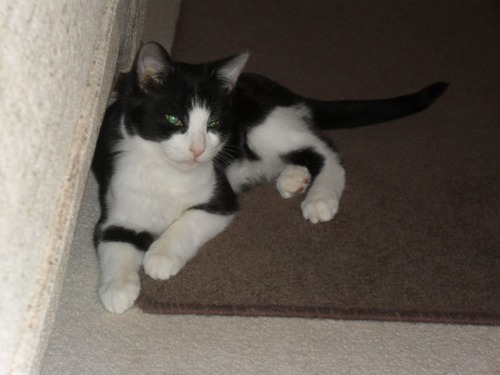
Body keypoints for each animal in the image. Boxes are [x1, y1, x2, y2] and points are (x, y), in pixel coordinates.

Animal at [92, 41, 448, 314]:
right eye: (173, 119)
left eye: (215, 123)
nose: (198, 149)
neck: (168, 171)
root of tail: (278, 88)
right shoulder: (117, 204)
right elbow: (113, 243)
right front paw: (117, 289)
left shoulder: (220, 199)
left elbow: (188, 221)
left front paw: (160, 256)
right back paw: (293, 178)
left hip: (264, 125)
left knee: (325, 150)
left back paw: (320, 198)